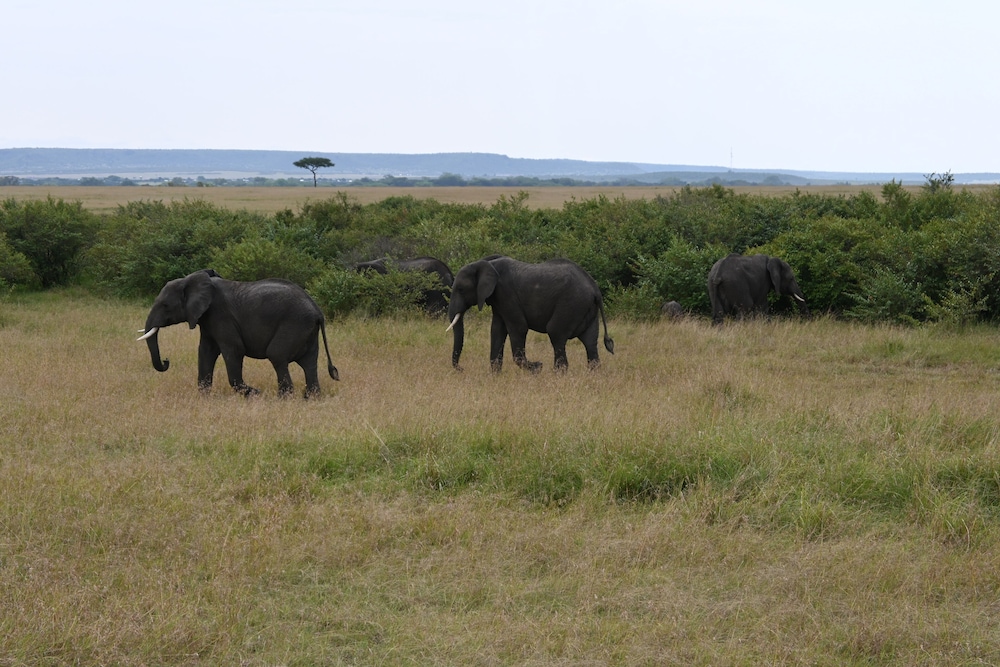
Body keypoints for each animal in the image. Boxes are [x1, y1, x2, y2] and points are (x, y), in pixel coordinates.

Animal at [137, 269, 339, 397]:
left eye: (165, 305)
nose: (166, 361)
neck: (191, 280)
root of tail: (318, 311)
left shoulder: (221, 315)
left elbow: (233, 351)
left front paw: (255, 393)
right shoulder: (207, 319)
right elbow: (205, 352)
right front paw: (204, 398)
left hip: (294, 324)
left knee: (277, 355)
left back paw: (283, 399)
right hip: (306, 330)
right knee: (309, 363)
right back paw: (310, 398)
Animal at [446, 255, 614, 372]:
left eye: (460, 289)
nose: (461, 369)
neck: (487, 263)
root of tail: (595, 289)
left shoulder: (506, 294)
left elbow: (518, 327)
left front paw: (537, 367)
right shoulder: (498, 300)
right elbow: (497, 330)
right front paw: (496, 375)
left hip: (571, 303)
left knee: (556, 333)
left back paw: (558, 375)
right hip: (586, 309)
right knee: (590, 341)